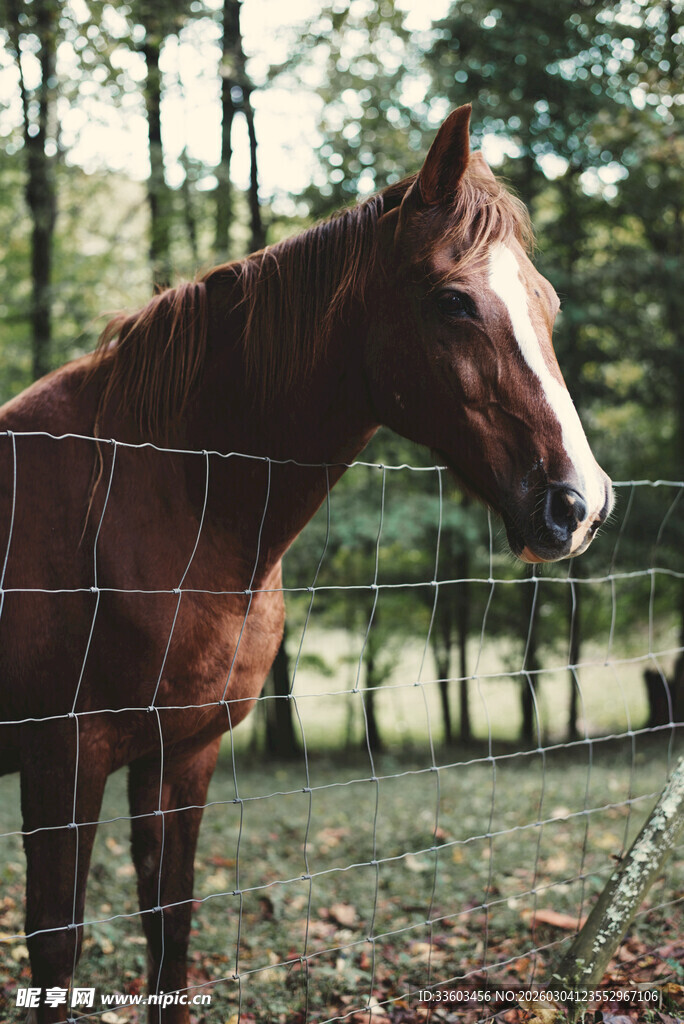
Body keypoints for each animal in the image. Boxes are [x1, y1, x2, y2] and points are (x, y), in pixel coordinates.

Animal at [0, 105, 612, 1023]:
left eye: (547, 301)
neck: (156, 498)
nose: (580, 503)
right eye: (454, 301)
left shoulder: (180, 755)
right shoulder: (60, 764)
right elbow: (56, 946)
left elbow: (170, 926)